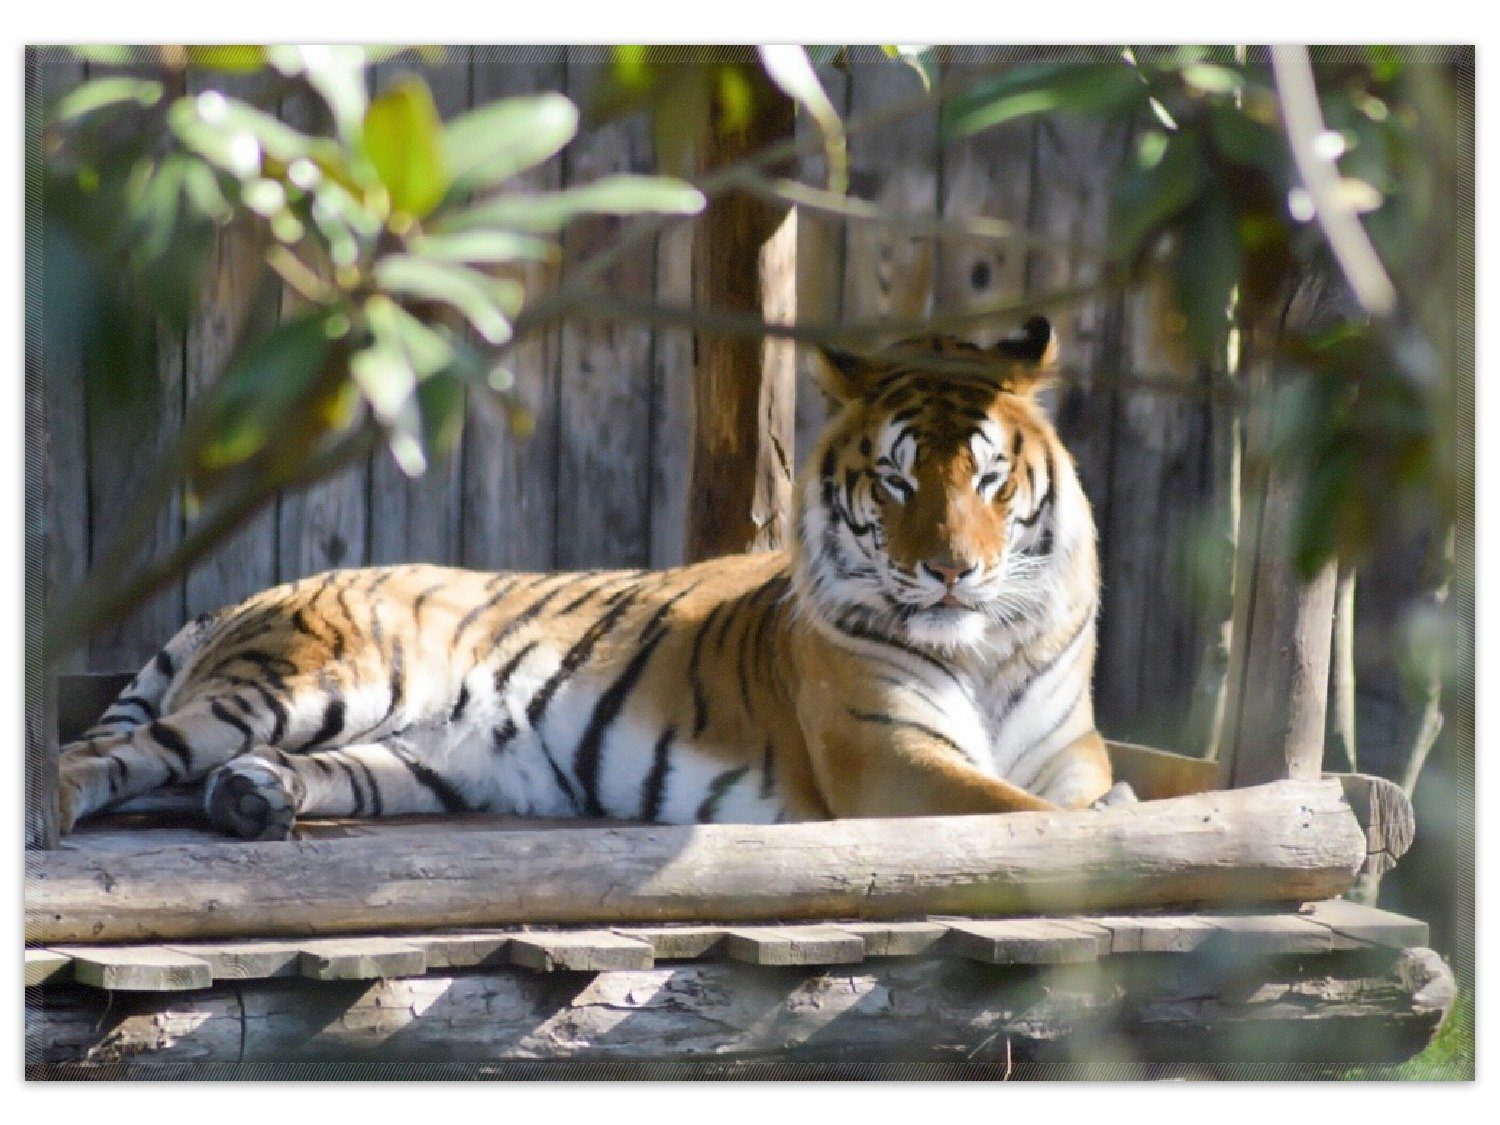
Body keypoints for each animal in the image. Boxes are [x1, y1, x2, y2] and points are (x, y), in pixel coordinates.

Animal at [57, 315, 1128, 841]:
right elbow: (1027, 820)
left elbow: (1091, 796)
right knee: (107, 755)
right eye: (898, 479)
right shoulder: (889, 755)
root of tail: (244, 598)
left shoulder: (1070, 747)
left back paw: (252, 798)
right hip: (310, 683)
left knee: (234, 773)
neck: (987, 651)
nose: (949, 570)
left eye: (989, 478)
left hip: (421, 760)